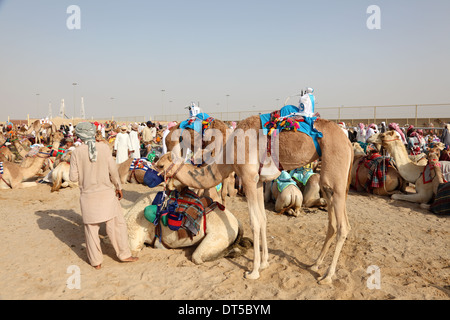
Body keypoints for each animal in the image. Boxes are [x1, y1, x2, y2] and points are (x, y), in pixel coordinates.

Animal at [156, 114, 354, 284]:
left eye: (160, 165)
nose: (164, 185)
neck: (229, 153)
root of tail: (349, 144)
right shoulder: (258, 182)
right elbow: (263, 219)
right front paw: (265, 263)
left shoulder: (248, 179)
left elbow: (254, 222)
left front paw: (254, 271)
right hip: (330, 184)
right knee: (333, 223)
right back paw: (315, 264)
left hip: (334, 176)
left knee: (344, 227)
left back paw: (328, 276)